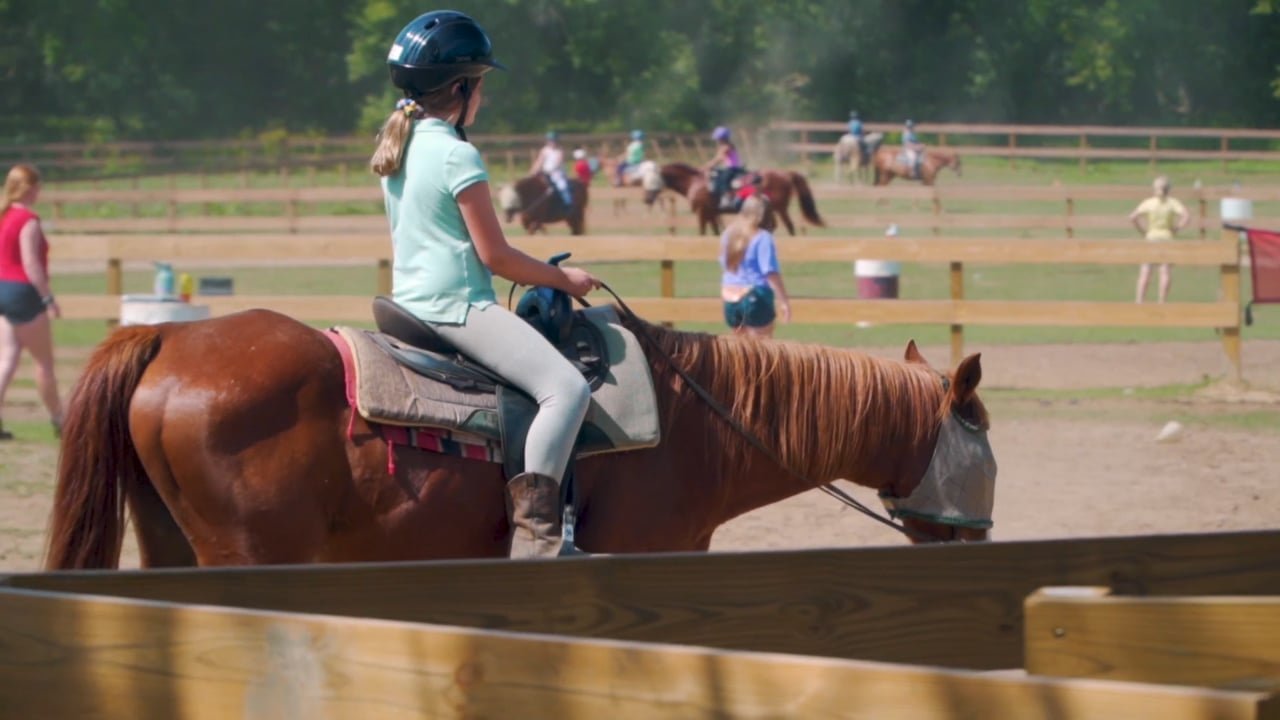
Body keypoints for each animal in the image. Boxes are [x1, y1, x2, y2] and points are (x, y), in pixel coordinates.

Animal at [656, 163, 825, 236]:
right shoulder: (711, 214)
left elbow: (702, 231)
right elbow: (715, 232)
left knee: (788, 226)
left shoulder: (702, 212)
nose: (651, 196)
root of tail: (786, 173)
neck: (694, 181)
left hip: (780, 208)